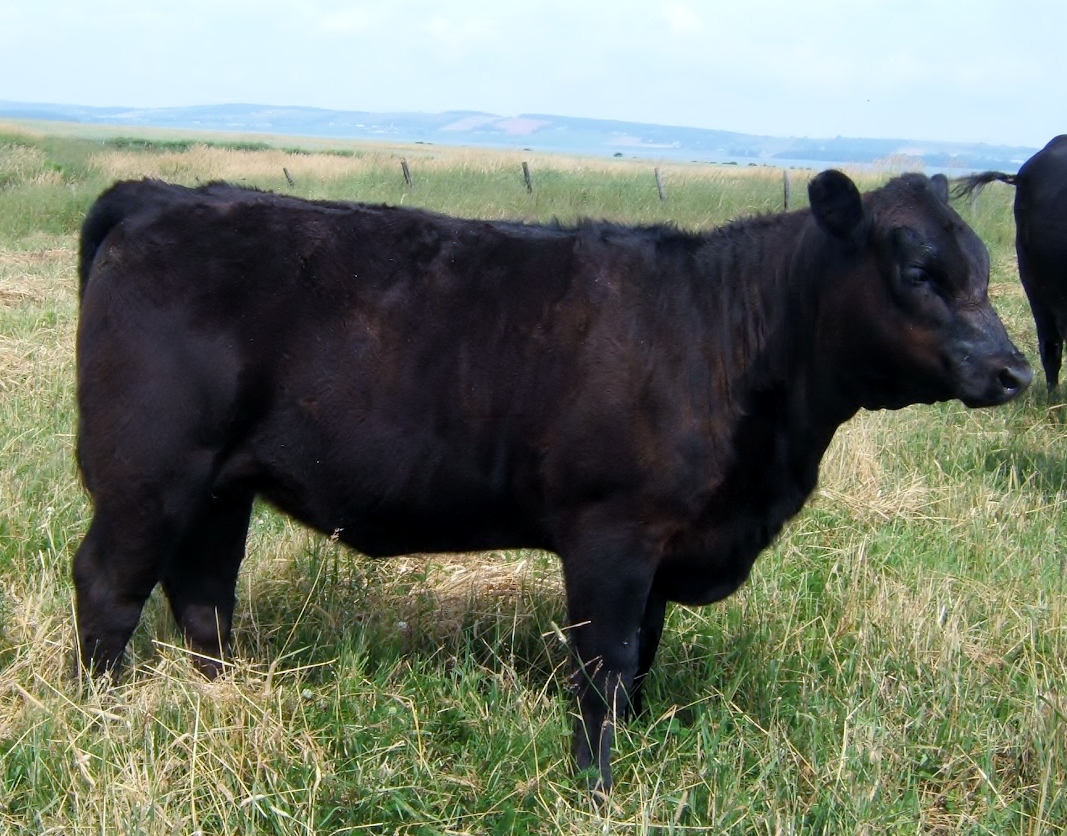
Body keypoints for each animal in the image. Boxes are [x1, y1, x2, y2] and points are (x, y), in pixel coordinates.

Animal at [74, 170, 1031, 791]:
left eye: (985, 272)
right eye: (917, 272)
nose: (1013, 370)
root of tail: (165, 196)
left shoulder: (663, 545)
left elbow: (642, 655)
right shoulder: (611, 532)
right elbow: (604, 660)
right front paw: (593, 785)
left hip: (218, 484)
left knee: (203, 591)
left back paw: (223, 700)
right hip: (147, 471)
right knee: (110, 585)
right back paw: (101, 719)